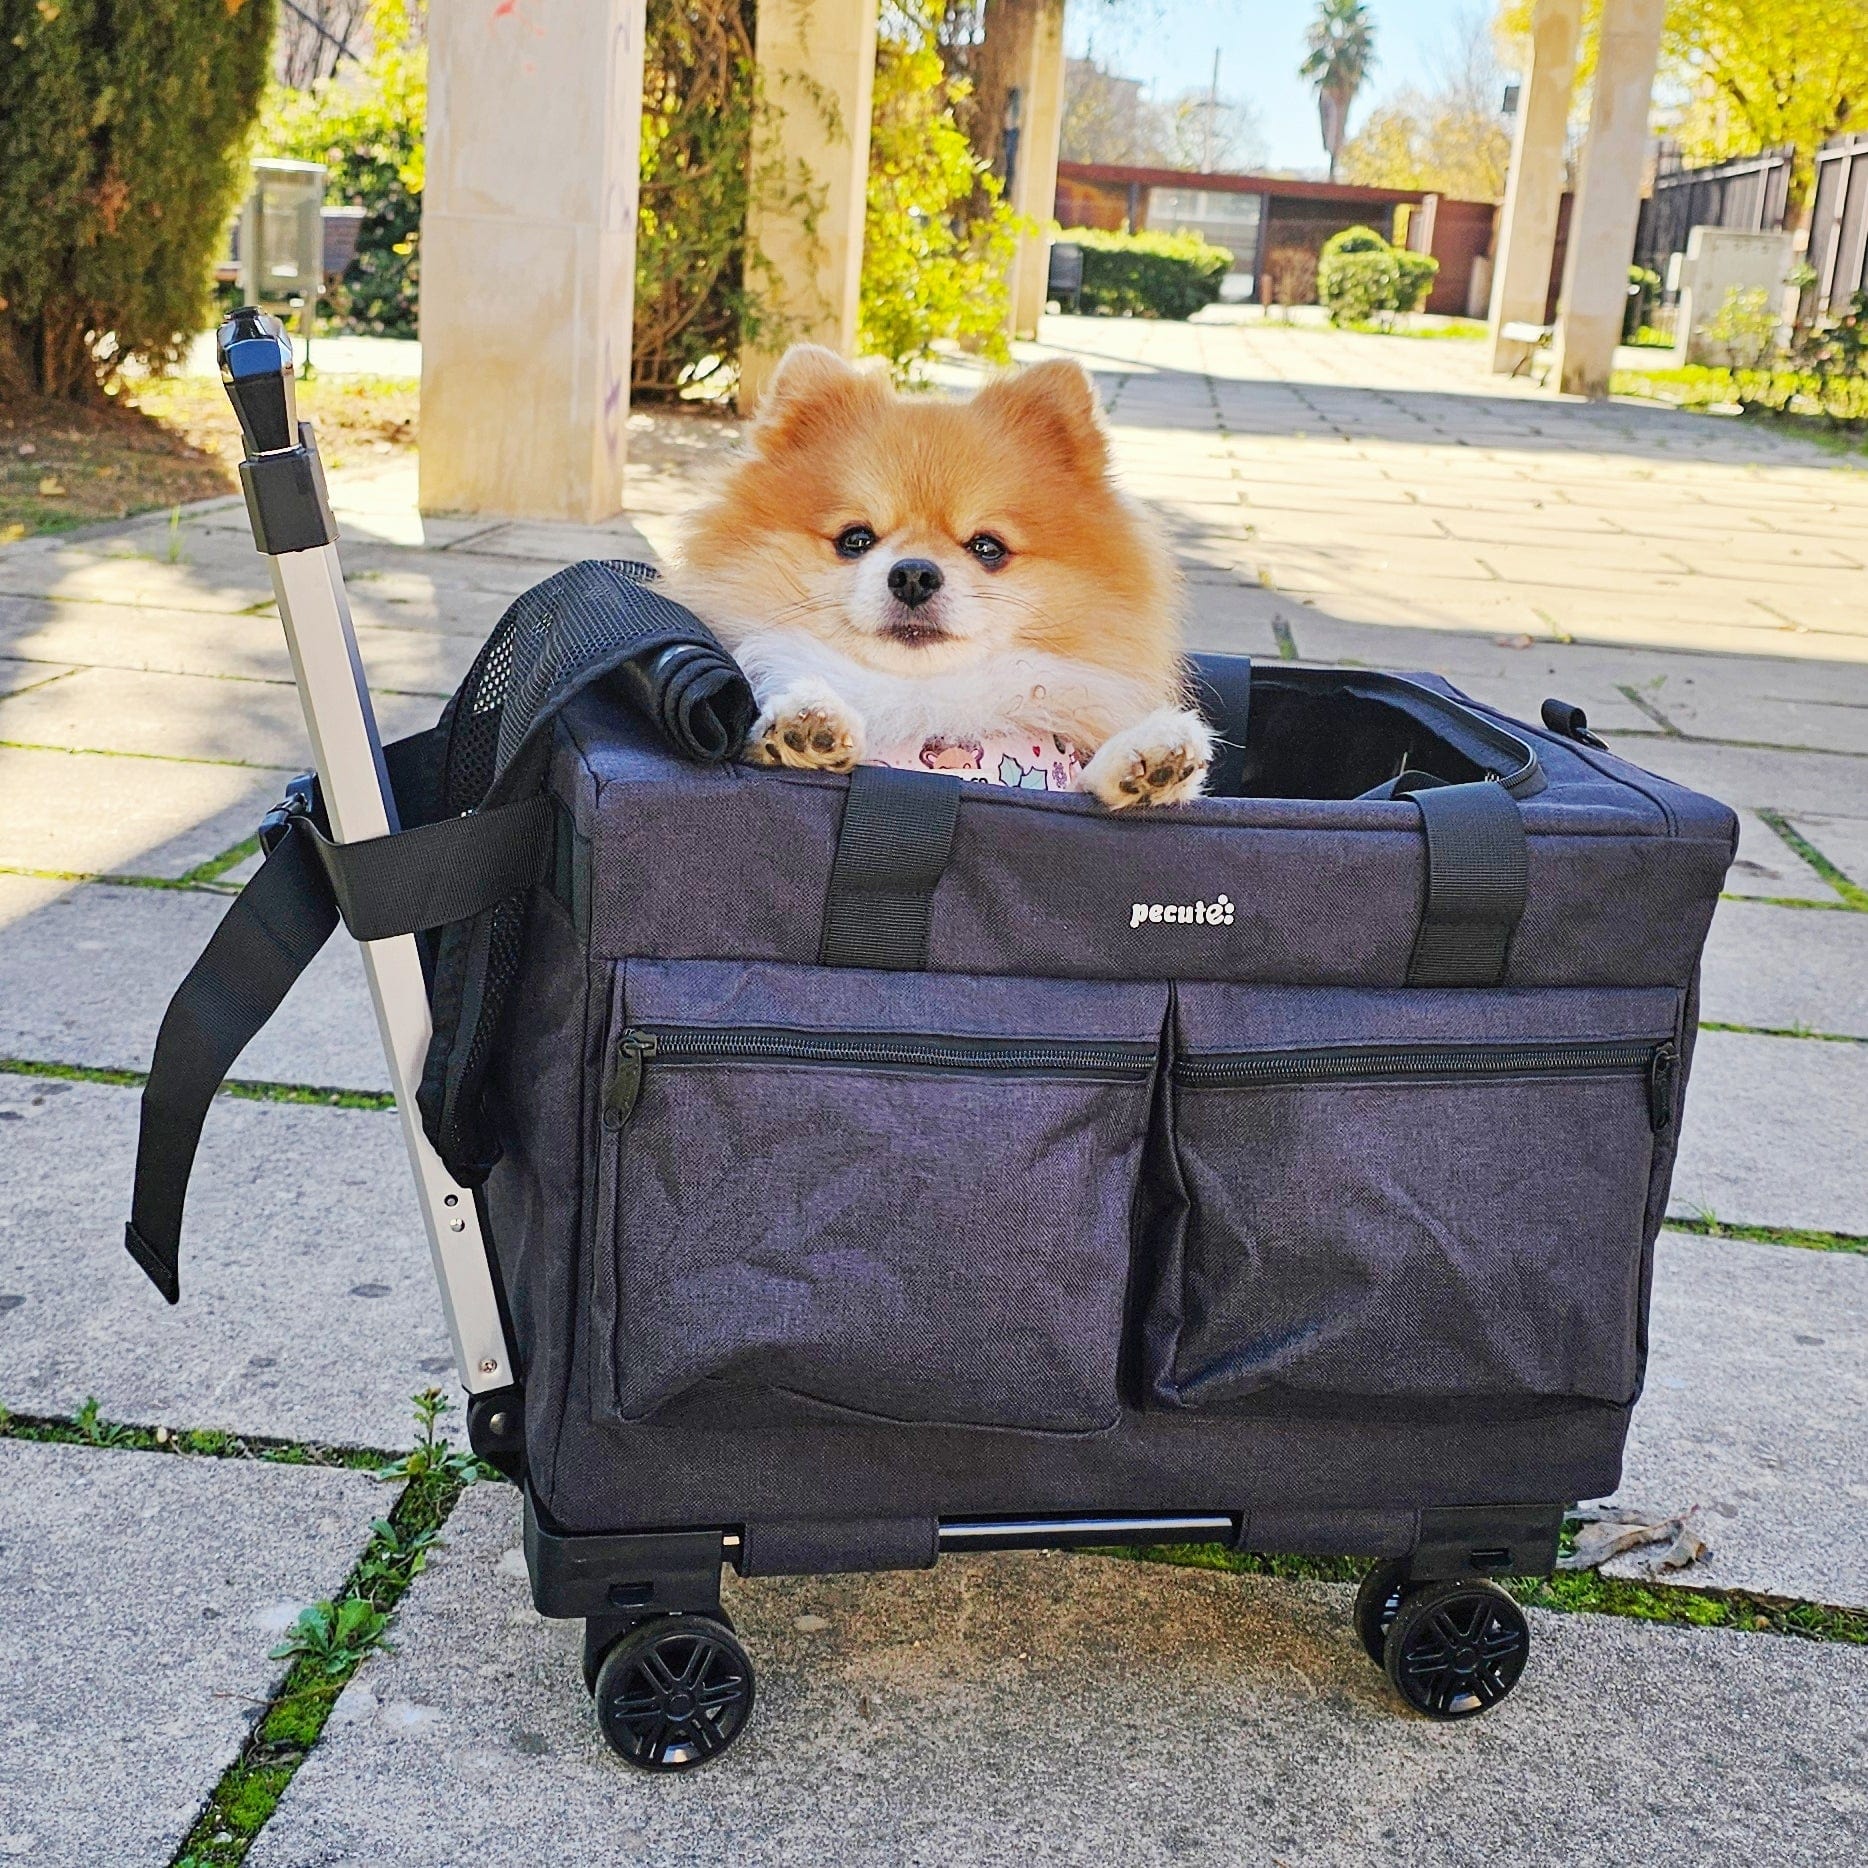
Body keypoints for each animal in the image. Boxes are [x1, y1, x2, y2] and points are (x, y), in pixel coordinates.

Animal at [669, 345, 1212, 809]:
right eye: (856, 539)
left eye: (987, 547)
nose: (913, 574)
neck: (925, 701)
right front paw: (807, 724)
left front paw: (1148, 758)